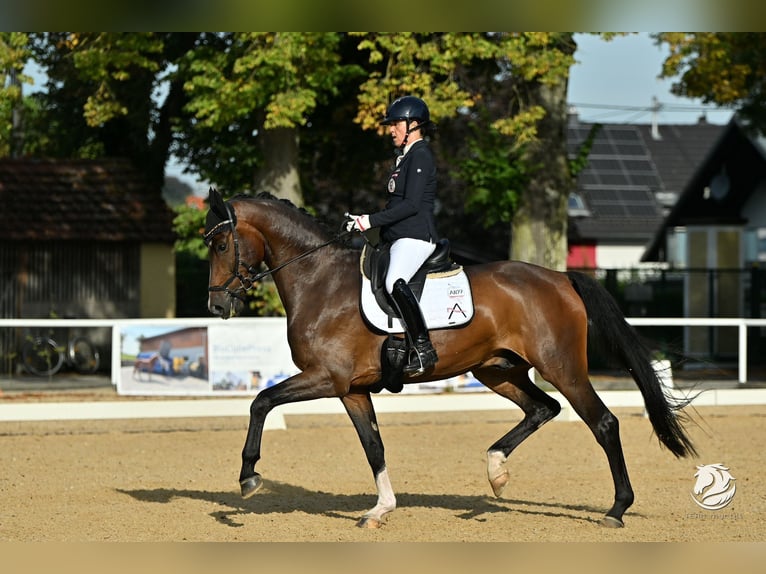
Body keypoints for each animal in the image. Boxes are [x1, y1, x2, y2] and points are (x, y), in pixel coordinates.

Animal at [206, 190, 704, 532]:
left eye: (221, 245)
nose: (216, 306)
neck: (320, 279)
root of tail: (561, 278)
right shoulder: (352, 389)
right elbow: (373, 446)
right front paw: (380, 510)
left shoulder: (326, 378)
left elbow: (261, 401)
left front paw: (249, 477)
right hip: (497, 369)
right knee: (542, 408)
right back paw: (496, 471)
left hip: (561, 367)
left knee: (602, 423)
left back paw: (617, 508)